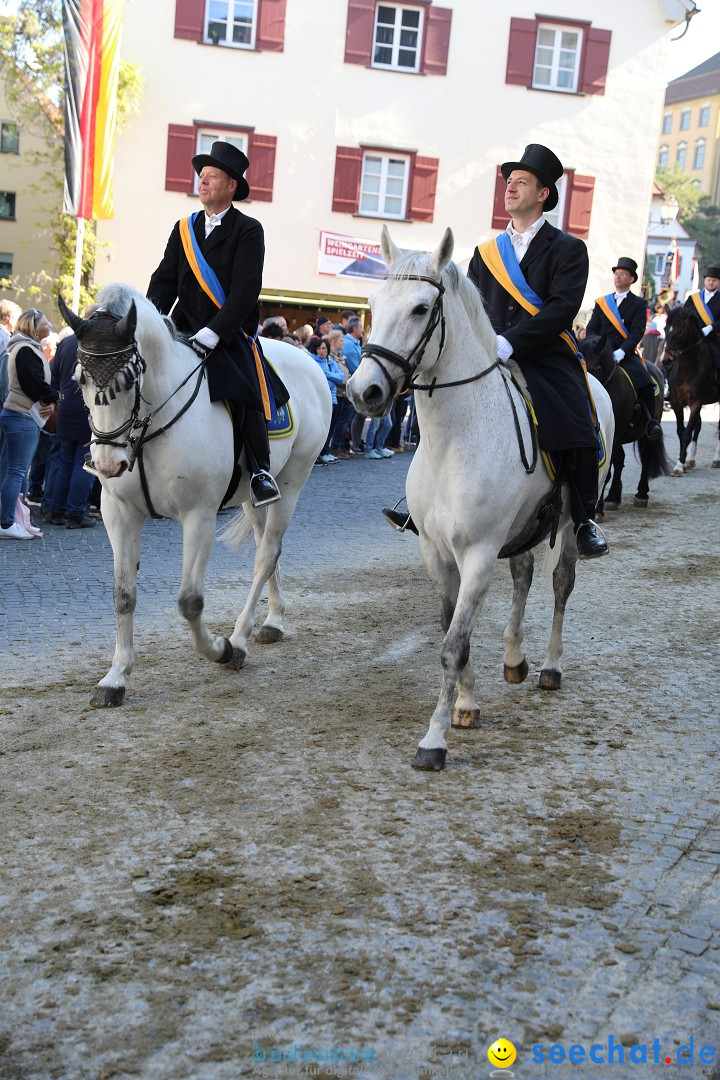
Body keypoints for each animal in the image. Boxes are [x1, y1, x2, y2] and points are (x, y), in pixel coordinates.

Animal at [60, 285, 330, 708]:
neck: (150, 427)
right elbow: (123, 594)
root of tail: (309, 362)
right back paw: (273, 620)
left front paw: (220, 650)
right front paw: (115, 677)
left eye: (129, 378)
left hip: (291, 482)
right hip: (252, 496)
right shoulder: (119, 513)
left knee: (267, 552)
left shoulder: (199, 515)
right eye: (79, 379)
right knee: (266, 549)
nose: (106, 463)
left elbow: (190, 601)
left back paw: (239, 639)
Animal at [349, 227, 613, 773]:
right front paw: (466, 706)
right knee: (524, 577)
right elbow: (455, 632)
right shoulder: (435, 551)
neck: (453, 440)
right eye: (372, 304)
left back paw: (550, 666)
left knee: (560, 583)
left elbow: (454, 645)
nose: (364, 392)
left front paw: (433, 740)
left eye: (421, 309)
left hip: (568, 522)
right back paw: (514, 659)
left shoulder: (478, 552)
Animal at [587, 330, 669, 511]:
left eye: (593, 368)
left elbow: (607, 470)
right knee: (621, 461)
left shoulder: (616, 434)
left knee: (646, 457)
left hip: (648, 431)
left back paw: (641, 494)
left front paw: (598, 508)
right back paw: (613, 497)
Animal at [660, 304, 716, 473]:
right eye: (665, 329)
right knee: (698, 425)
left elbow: (686, 433)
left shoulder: (697, 402)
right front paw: (683, 460)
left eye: (680, 332)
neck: (687, 368)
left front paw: (679, 465)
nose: (666, 361)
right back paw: (690, 459)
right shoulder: (677, 402)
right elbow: (681, 431)